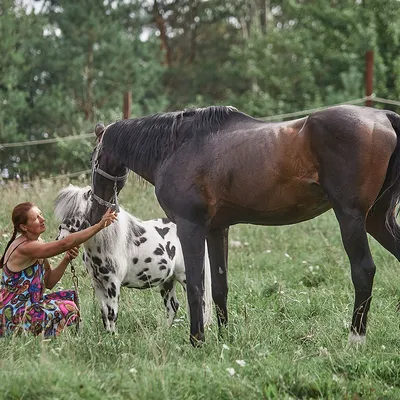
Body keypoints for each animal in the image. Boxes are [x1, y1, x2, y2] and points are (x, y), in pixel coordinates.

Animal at [54, 186, 214, 332]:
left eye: (78, 212)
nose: (60, 239)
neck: (106, 243)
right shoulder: (98, 283)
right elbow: (104, 313)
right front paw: (107, 337)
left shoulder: (113, 283)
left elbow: (112, 313)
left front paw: (114, 338)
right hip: (168, 281)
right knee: (172, 306)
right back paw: (163, 332)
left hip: (185, 278)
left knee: (199, 303)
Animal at [89, 104, 400, 346]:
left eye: (93, 159)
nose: (96, 212)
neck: (178, 147)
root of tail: (383, 116)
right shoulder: (217, 230)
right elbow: (219, 287)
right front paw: (224, 338)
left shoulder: (190, 227)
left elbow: (196, 287)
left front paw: (197, 340)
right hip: (376, 221)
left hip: (351, 218)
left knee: (363, 272)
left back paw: (355, 340)